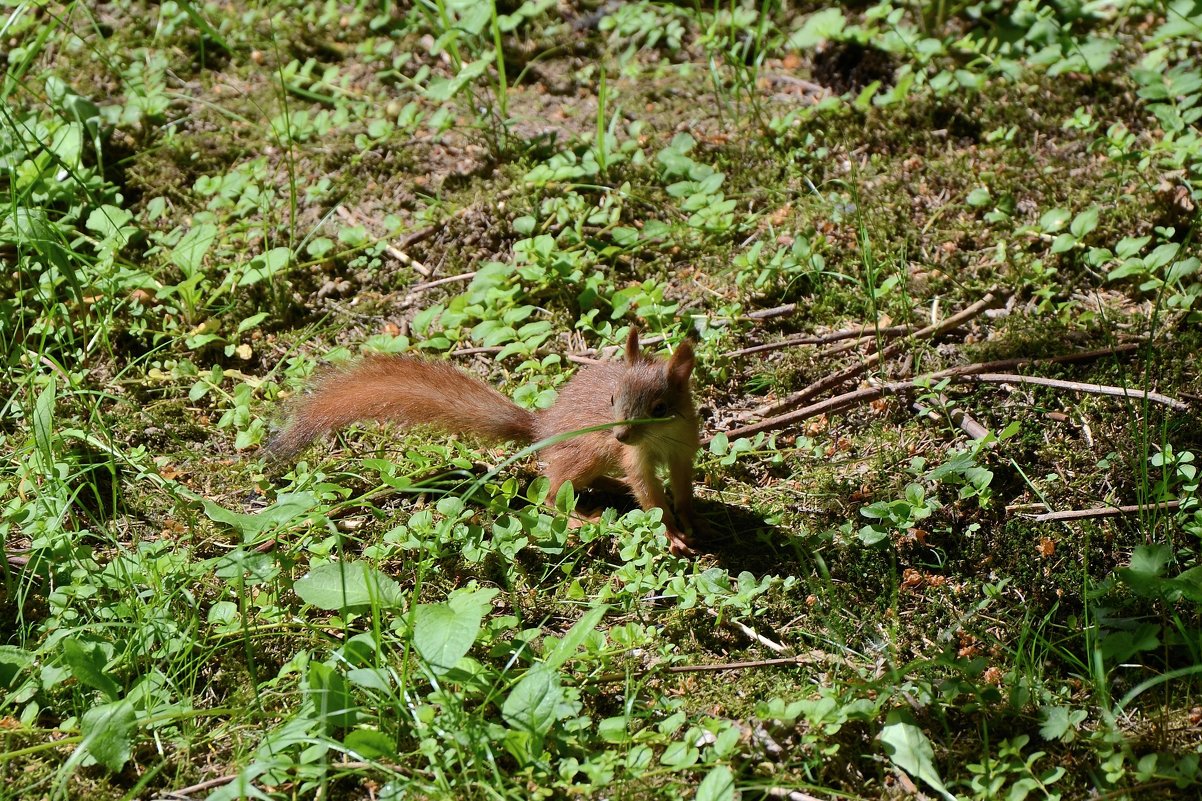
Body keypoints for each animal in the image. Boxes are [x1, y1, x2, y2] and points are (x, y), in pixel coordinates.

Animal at [270, 327, 701, 553]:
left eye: (660, 408)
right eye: (613, 399)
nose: (620, 435)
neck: (660, 440)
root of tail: (541, 429)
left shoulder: (684, 450)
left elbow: (681, 487)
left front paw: (693, 517)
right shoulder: (636, 459)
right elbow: (650, 497)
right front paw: (671, 533)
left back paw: (612, 486)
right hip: (583, 455)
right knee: (549, 495)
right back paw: (581, 518)